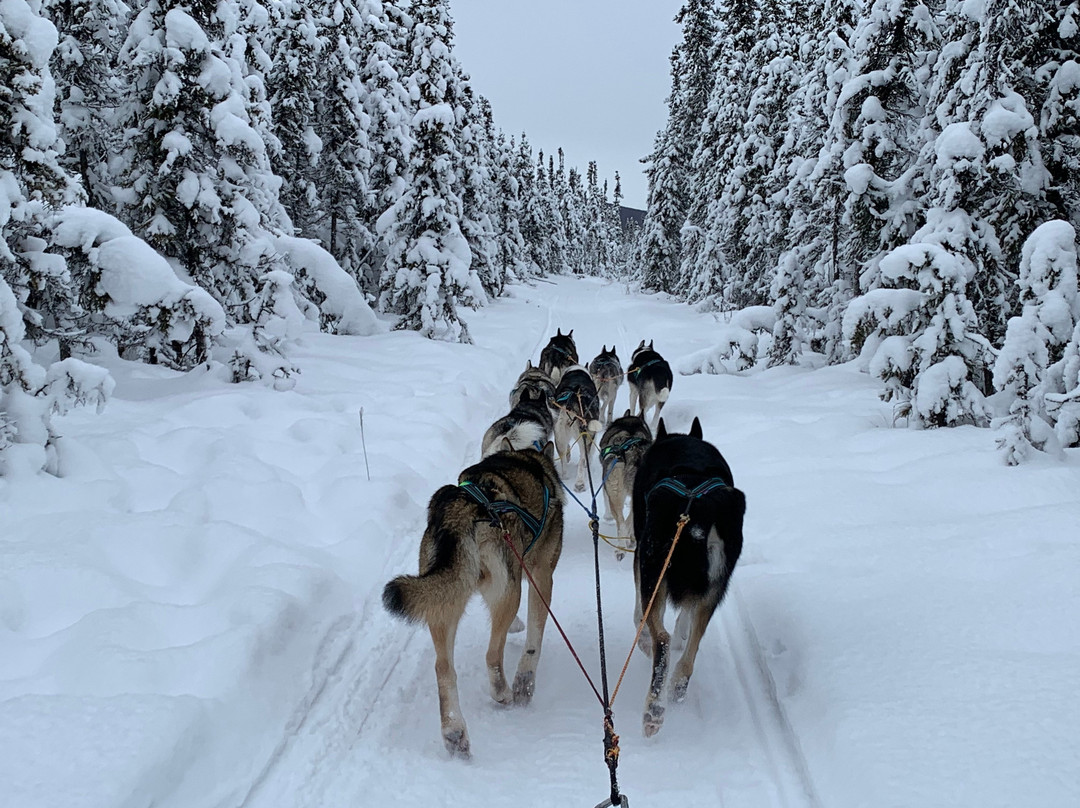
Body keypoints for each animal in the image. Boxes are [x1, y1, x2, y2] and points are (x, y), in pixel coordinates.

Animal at [630, 416, 747, 738]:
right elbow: (687, 615)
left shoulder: (640, 560)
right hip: (717, 586)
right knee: (693, 644)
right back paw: (677, 687)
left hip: (653, 569)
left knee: (662, 639)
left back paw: (653, 710)